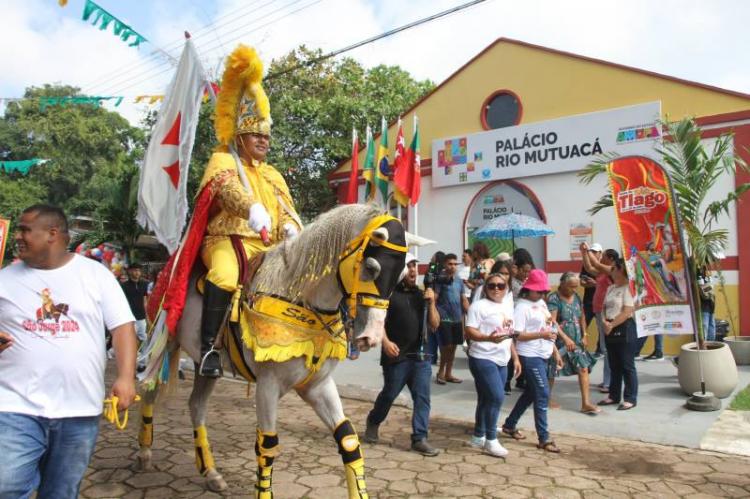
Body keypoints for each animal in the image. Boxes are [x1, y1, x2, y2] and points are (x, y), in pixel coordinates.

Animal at [138, 204, 414, 499]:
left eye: (400, 277)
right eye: (371, 268)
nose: (371, 336)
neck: (301, 300)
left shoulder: (317, 385)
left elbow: (348, 439)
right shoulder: (268, 385)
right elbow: (267, 445)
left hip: (205, 365)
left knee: (196, 406)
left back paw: (211, 473)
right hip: (163, 343)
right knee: (149, 389)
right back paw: (144, 453)